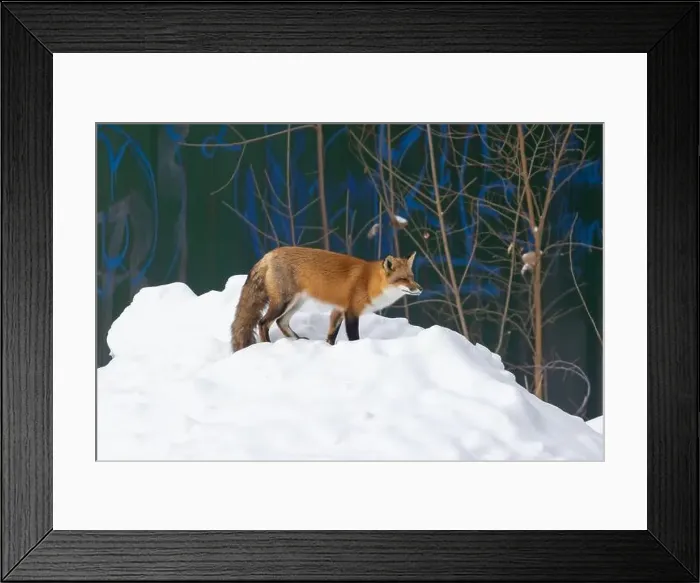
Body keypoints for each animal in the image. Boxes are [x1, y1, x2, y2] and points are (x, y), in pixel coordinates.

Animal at [231, 246, 422, 352]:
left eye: (412, 277)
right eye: (403, 279)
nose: (420, 289)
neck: (368, 282)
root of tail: (268, 255)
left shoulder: (338, 310)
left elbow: (331, 336)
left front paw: (328, 348)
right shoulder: (351, 312)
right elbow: (354, 336)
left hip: (297, 303)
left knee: (281, 322)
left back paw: (298, 340)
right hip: (283, 302)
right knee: (263, 322)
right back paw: (268, 346)